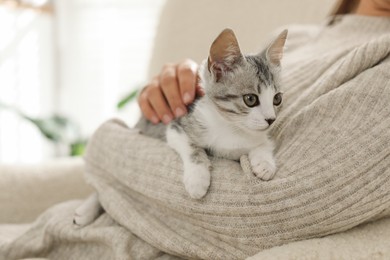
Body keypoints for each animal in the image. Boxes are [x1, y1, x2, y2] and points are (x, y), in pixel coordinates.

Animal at [73, 29, 286, 225]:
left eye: (277, 99)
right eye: (250, 99)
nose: (271, 119)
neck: (231, 127)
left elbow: (262, 144)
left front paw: (264, 164)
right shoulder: (176, 125)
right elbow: (192, 148)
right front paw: (197, 179)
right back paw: (84, 211)